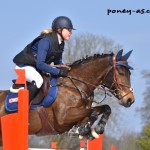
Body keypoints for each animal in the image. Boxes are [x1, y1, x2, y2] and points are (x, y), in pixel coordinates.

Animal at [0, 49, 135, 145]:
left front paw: (94, 131)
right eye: (121, 73)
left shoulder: (81, 114)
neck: (76, 86)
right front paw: (83, 131)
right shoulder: (62, 119)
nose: (130, 100)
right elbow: (93, 112)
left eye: (129, 73)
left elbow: (104, 108)